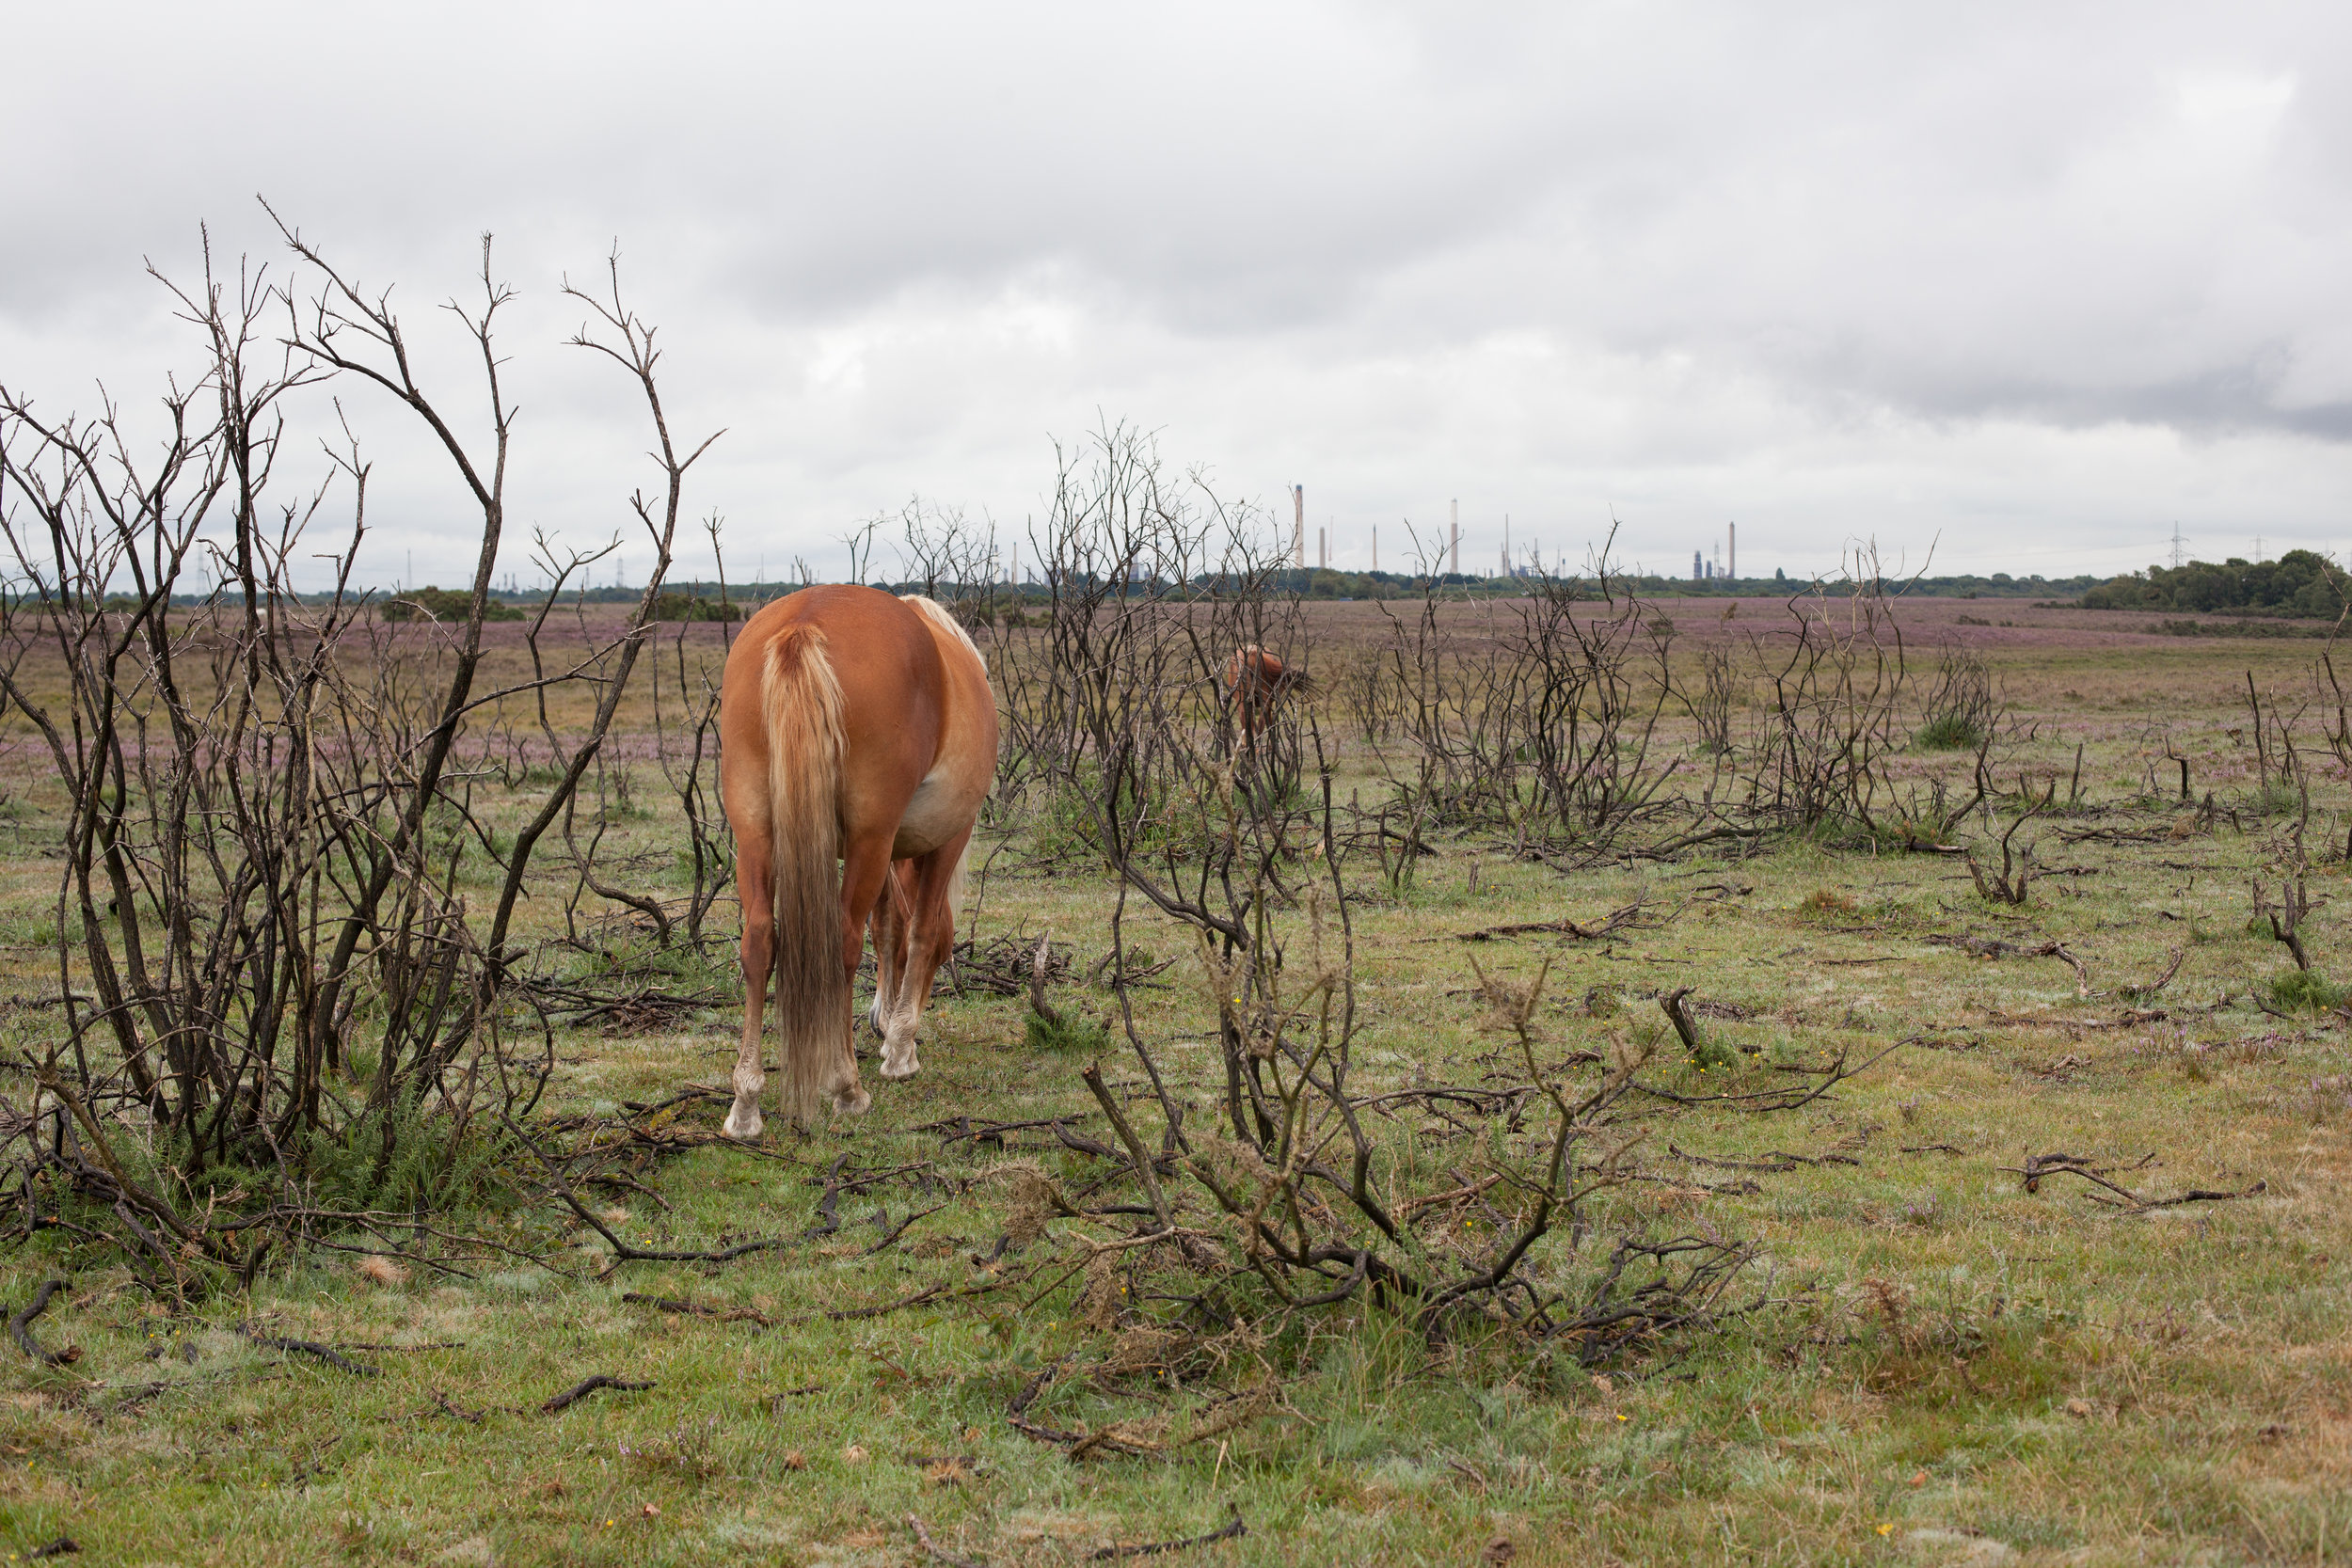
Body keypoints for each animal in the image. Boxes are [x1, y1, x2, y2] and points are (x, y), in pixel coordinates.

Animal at [724, 582, 1002, 1132]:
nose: (881, 1027)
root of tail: (803, 623)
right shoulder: (944, 837)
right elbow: (922, 930)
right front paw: (901, 1047)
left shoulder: (886, 848)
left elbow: (889, 926)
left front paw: (887, 1021)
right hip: (869, 836)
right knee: (845, 940)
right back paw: (846, 1086)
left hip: (756, 834)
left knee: (759, 941)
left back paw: (746, 1102)